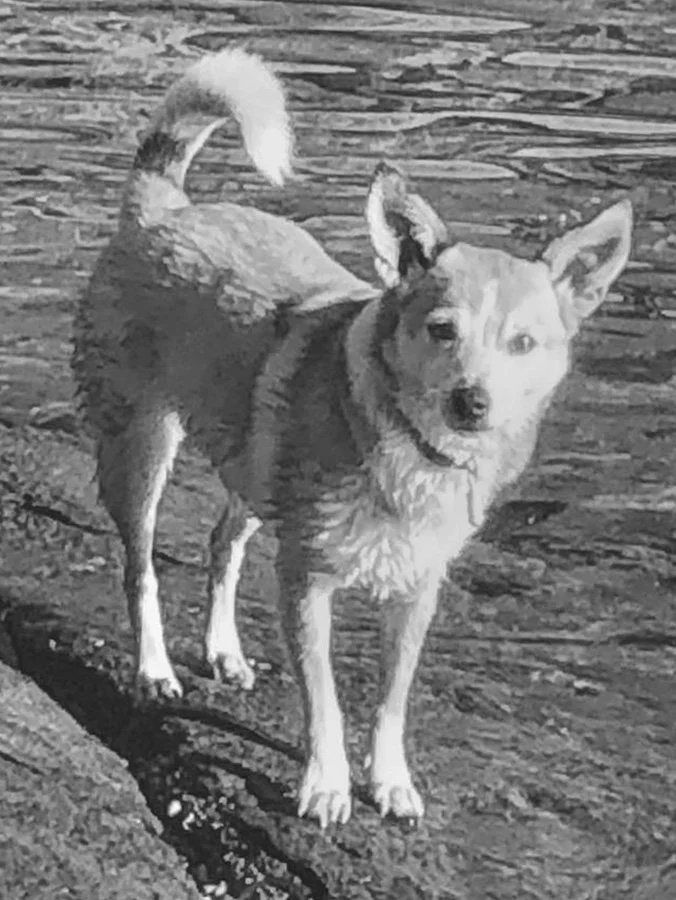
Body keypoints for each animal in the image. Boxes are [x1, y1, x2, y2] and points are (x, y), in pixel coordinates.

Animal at [72, 47, 633, 828]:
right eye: (442, 330)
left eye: (523, 343)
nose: (473, 402)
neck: (412, 450)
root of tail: (165, 208)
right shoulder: (307, 583)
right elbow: (325, 701)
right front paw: (326, 786)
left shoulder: (416, 594)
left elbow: (392, 698)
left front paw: (390, 781)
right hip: (142, 446)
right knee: (142, 566)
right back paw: (154, 668)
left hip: (253, 464)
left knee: (222, 543)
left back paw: (222, 651)